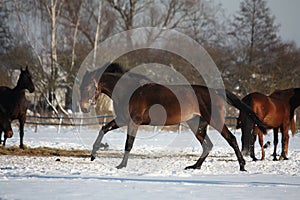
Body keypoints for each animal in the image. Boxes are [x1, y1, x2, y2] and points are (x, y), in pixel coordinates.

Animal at [80, 65, 268, 171]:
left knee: (231, 139)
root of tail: (216, 92)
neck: (130, 91)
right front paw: (93, 155)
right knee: (208, 145)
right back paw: (194, 167)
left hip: (215, 121)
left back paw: (242, 166)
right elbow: (104, 129)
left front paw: (121, 165)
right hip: (197, 125)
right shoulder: (122, 120)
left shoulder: (133, 122)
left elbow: (128, 144)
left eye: (89, 86)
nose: (83, 107)